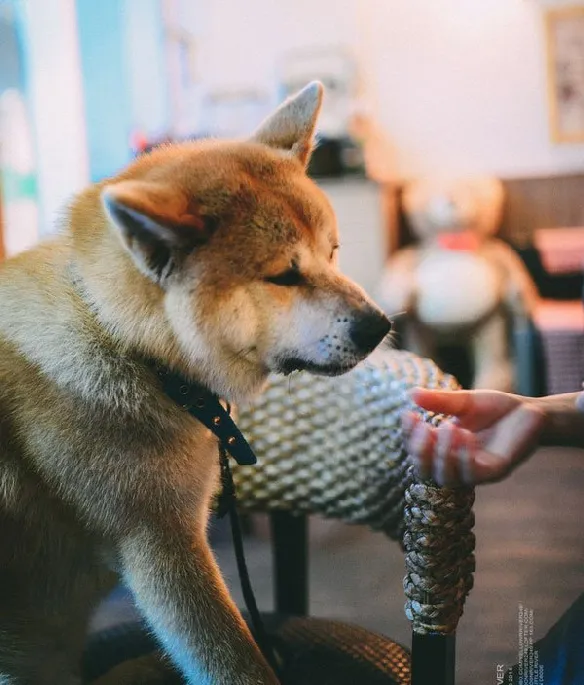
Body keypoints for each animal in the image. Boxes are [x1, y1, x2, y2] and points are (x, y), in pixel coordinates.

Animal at [0, 81, 392, 684]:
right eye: (284, 276)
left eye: (332, 253)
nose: (381, 326)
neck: (133, 349)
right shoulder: (161, 548)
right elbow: (235, 661)